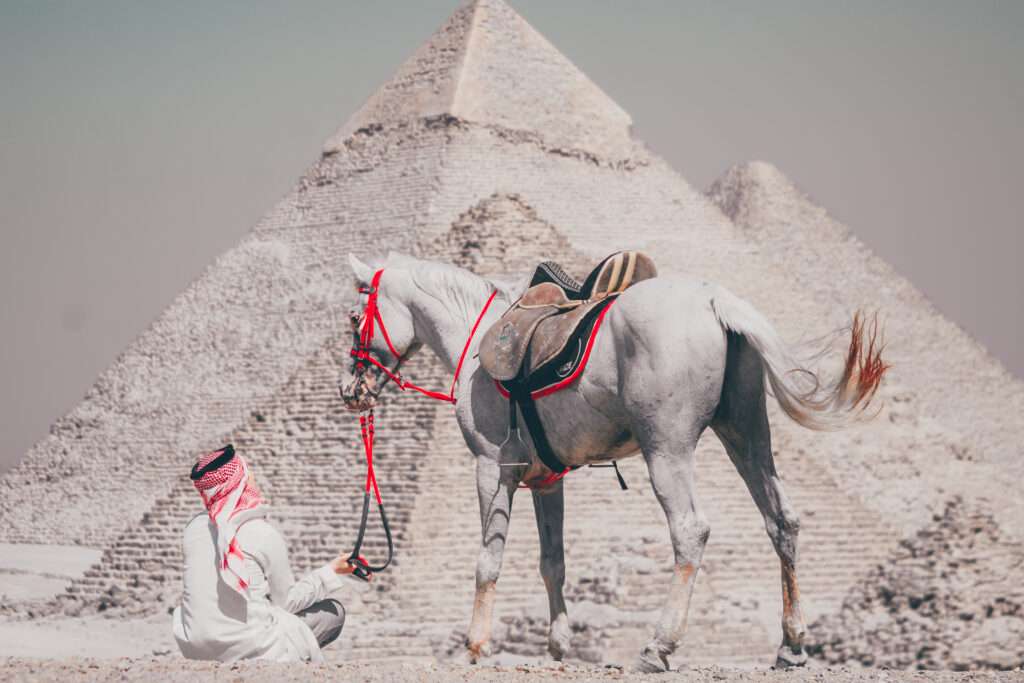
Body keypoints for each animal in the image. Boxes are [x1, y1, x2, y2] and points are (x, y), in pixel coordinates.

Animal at [339, 251, 887, 672]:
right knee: (782, 519)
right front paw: (558, 645)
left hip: (667, 446)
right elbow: (552, 562)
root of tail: (716, 300)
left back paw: (658, 646)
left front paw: (475, 645)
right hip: (746, 431)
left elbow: (487, 560)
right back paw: (791, 645)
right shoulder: (547, 480)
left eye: (352, 318)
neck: (475, 340)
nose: (350, 390)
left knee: (690, 530)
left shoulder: (493, 467)